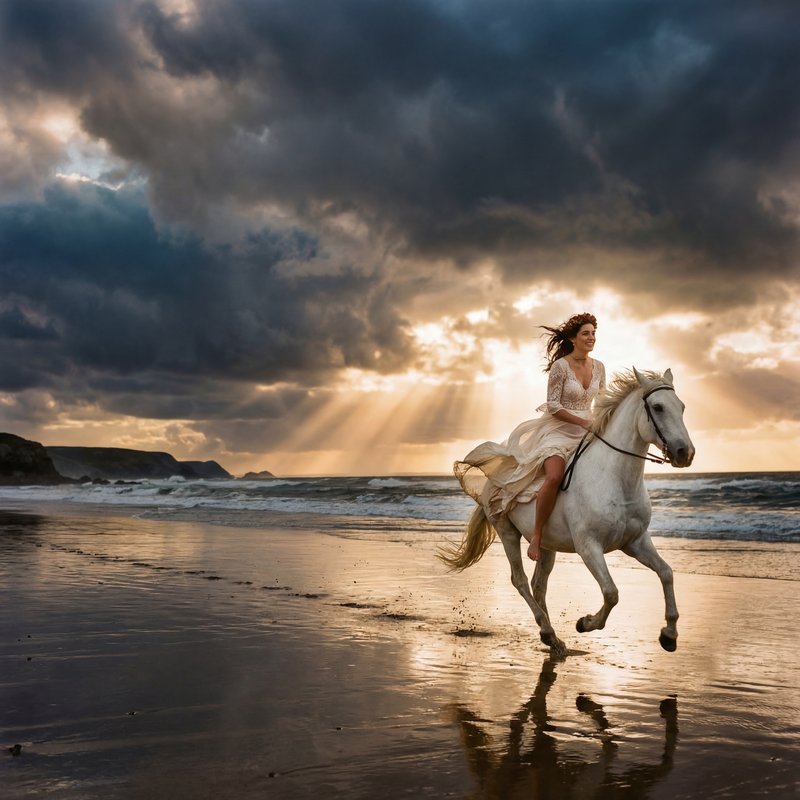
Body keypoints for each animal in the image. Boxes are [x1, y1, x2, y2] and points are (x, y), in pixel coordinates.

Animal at [441, 368, 695, 656]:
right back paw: (548, 631)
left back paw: (552, 639)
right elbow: (611, 592)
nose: (685, 453)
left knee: (538, 585)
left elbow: (666, 573)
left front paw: (669, 635)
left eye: (681, 407)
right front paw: (585, 623)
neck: (616, 479)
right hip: (507, 533)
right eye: (658, 407)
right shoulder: (589, 547)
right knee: (520, 580)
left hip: (546, 544)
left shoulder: (635, 542)